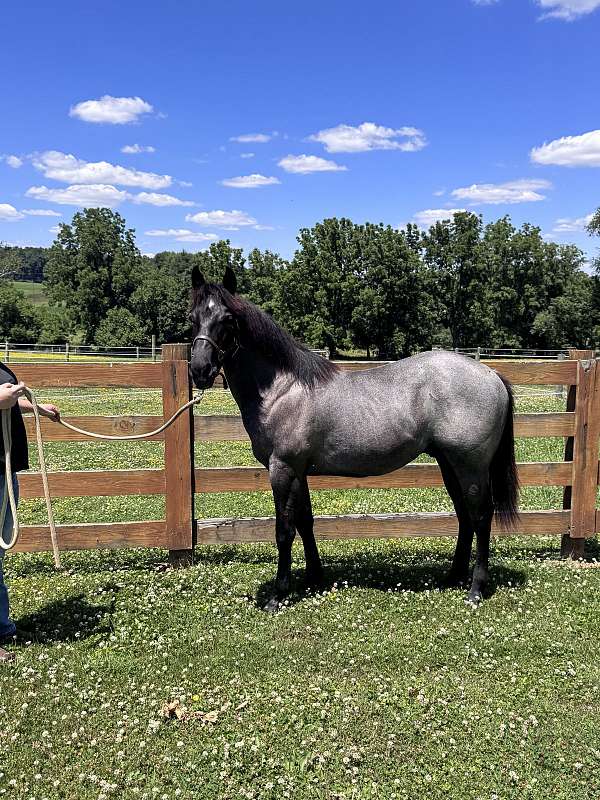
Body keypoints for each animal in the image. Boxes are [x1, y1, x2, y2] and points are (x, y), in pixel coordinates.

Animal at [188, 266, 519, 610]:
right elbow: (305, 522)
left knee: (480, 516)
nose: (200, 370)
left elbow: (284, 531)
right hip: (449, 464)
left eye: (227, 319)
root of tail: (492, 375)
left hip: (470, 466)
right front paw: (314, 577)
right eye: (192, 317)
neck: (283, 390)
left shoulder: (282, 469)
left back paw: (475, 590)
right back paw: (453, 577)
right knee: (465, 516)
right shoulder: (299, 472)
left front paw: (278, 594)